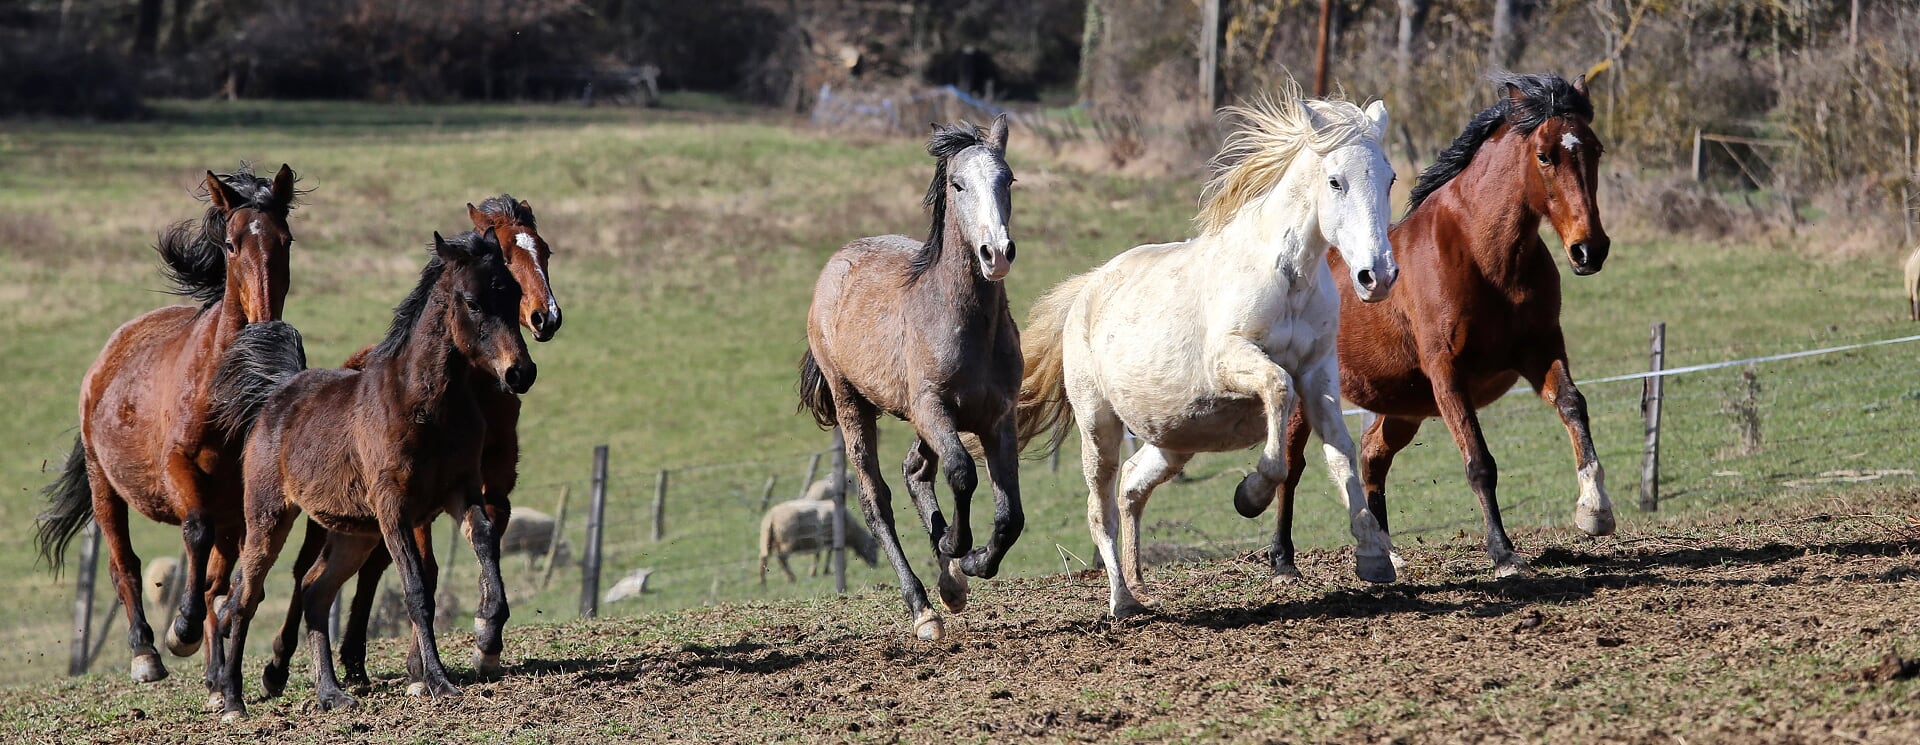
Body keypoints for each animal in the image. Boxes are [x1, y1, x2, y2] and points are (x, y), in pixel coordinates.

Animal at [36, 166, 299, 695]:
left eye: (285, 240)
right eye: (232, 244)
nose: (264, 325)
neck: (218, 386)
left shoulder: (240, 502)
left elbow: (226, 579)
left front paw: (215, 663)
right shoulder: (179, 470)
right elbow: (194, 533)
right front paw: (182, 628)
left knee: (215, 576)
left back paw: (213, 673)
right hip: (103, 487)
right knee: (124, 566)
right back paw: (146, 653)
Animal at [211, 229, 537, 718]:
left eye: (514, 293)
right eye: (473, 302)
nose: (520, 372)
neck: (424, 405)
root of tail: (277, 395)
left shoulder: (461, 490)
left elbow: (482, 538)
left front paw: (487, 625)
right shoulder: (394, 509)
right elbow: (417, 590)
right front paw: (438, 681)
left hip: (353, 532)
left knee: (315, 590)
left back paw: (331, 693)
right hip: (269, 517)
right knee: (243, 597)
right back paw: (232, 698)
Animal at [798, 116, 1029, 641]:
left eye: (1008, 180)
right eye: (957, 184)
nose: (996, 253)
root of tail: (835, 266)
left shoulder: (998, 418)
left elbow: (1010, 515)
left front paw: (970, 563)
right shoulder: (932, 407)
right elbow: (962, 473)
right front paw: (957, 548)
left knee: (914, 470)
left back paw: (949, 585)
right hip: (852, 403)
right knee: (876, 498)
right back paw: (923, 607)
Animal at [1021, 87, 1413, 618]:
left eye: (1389, 177)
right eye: (1336, 181)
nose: (1378, 276)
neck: (1287, 279)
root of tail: (1086, 290)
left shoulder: (1319, 376)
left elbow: (1341, 454)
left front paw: (1374, 557)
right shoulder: (1232, 362)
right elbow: (1277, 396)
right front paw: (1251, 494)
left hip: (1174, 439)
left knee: (1131, 485)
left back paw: (1141, 582)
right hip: (1098, 427)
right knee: (1099, 508)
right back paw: (1123, 599)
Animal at [1274, 74, 1620, 576]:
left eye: (1595, 149)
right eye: (1544, 155)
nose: (1589, 250)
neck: (1484, 255)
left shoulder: (1540, 350)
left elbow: (1574, 405)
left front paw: (1595, 511)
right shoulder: (1447, 374)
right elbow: (1479, 462)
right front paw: (1504, 553)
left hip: (1402, 408)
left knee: (1373, 455)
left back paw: (1383, 555)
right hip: (1311, 398)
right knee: (1292, 463)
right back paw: (1283, 560)